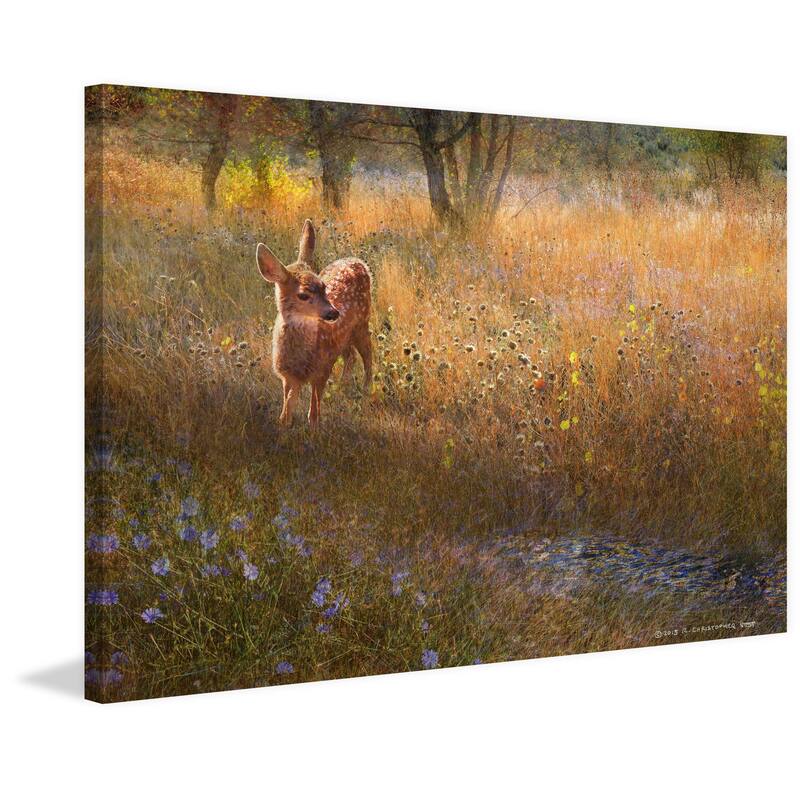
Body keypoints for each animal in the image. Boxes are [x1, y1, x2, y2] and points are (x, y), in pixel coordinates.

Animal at [256, 219, 372, 429]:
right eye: (303, 295)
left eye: (324, 288)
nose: (334, 313)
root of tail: (357, 261)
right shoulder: (288, 376)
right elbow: (287, 405)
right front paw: (284, 424)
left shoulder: (322, 368)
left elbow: (314, 408)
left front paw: (314, 427)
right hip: (344, 338)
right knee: (351, 356)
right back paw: (342, 386)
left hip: (362, 323)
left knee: (368, 354)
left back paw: (367, 389)